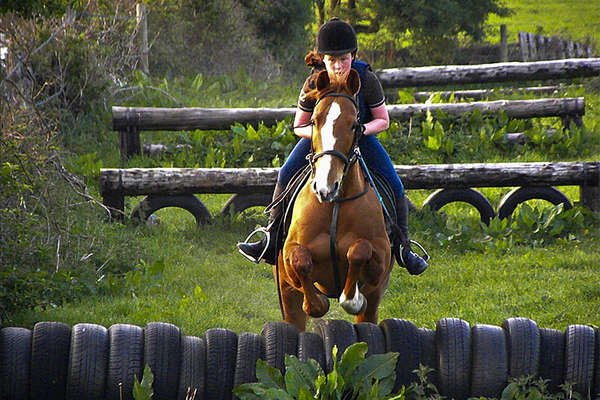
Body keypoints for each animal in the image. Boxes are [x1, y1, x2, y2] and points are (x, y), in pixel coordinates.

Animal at [276, 68, 394, 332]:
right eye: (313, 121)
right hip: (287, 297)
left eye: (354, 125)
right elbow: (300, 262)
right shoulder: (289, 255)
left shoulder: (380, 260)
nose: (325, 187)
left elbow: (359, 250)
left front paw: (353, 298)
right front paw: (318, 301)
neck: (335, 205)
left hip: (374, 302)